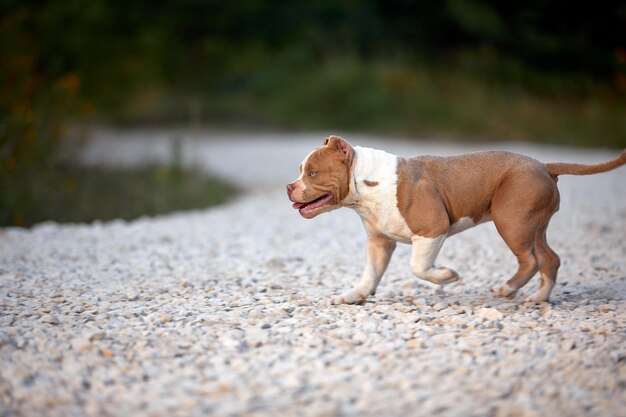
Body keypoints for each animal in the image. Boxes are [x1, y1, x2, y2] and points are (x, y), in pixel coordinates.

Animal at [286, 135, 624, 304]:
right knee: (549, 259)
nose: (289, 187)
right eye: (302, 170)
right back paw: (538, 297)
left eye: (312, 172)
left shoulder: (432, 230)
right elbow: (371, 273)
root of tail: (544, 165)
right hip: (533, 225)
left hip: (511, 222)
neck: (365, 181)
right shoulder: (379, 243)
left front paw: (446, 276)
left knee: (531, 259)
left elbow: (418, 267)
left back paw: (506, 289)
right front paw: (355, 295)